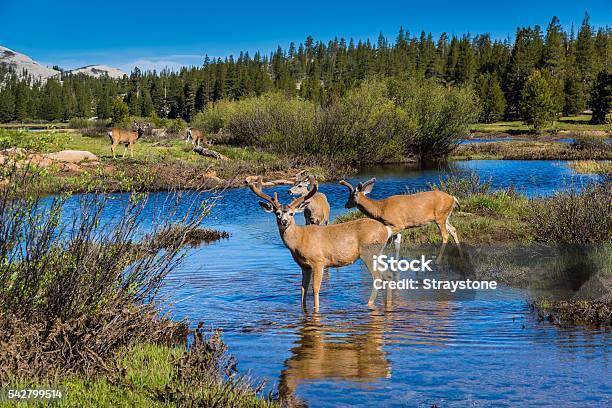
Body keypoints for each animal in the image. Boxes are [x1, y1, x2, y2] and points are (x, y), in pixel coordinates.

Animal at [249, 176, 392, 310]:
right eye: (277, 213)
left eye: (291, 213)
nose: (284, 222)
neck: (300, 239)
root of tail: (386, 230)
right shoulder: (304, 266)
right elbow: (303, 289)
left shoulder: (318, 261)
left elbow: (315, 288)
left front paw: (316, 308)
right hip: (378, 253)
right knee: (388, 275)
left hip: (369, 252)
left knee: (378, 277)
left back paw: (369, 304)